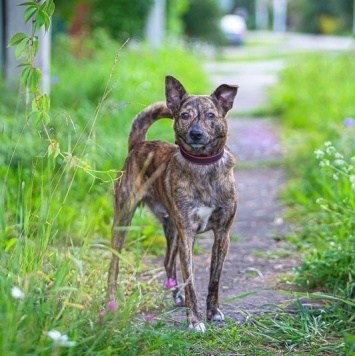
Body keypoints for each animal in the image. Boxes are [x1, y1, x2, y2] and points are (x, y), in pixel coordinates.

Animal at [107, 76, 238, 334]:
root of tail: (138, 145)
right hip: (125, 218)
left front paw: (212, 312)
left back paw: (177, 296)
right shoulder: (187, 233)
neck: (203, 166)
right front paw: (195, 320)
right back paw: (111, 301)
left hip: (172, 228)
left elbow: (214, 279)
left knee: (168, 261)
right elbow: (191, 280)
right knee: (113, 265)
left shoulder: (222, 234)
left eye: (210, 115)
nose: (196, 134)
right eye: (185, 115)